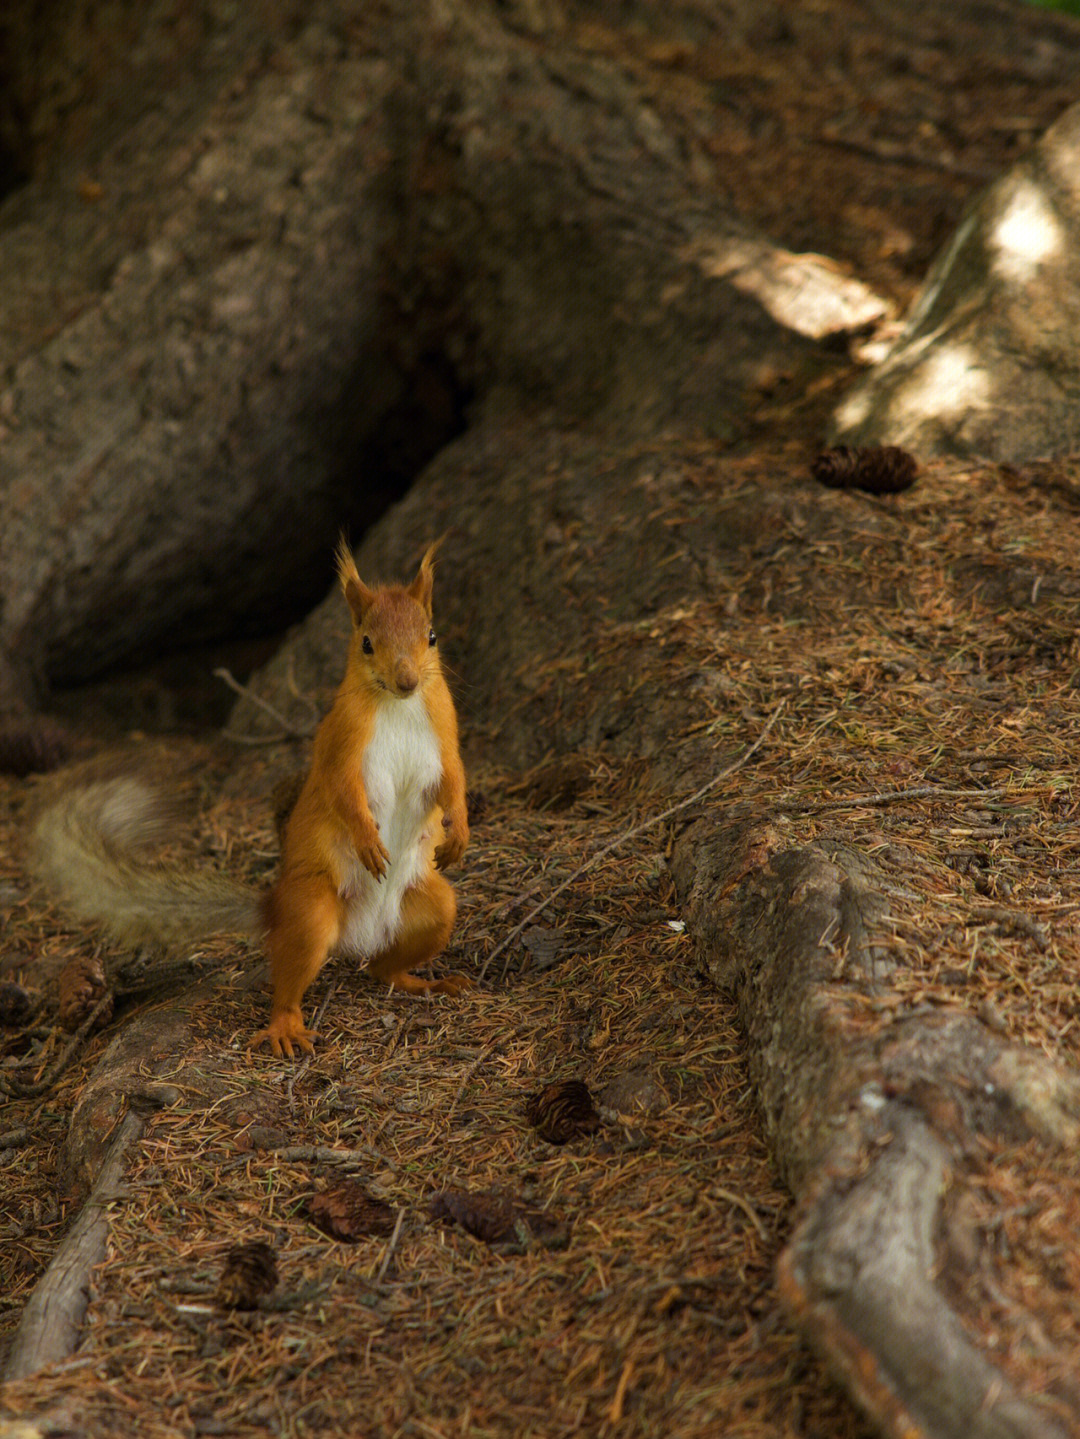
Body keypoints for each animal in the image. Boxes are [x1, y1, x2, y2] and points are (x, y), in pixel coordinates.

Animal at [32, 541, 471, 1059]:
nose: (407, 681)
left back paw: (421, 982)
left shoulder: (443, 737)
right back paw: (285, 1027)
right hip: (312, 913)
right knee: (292, 979)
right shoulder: (339, 747)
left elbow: (454, 783)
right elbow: (343, 794)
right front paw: (366, 838)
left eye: (432, 636)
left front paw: (459, 832)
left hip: (433, 909)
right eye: (366, 642)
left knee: (384, 967)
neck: (399, 706)